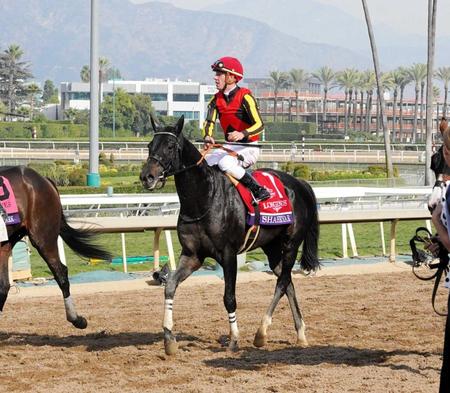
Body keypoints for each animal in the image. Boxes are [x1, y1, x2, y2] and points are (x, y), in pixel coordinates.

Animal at [0, 165, 110, 328]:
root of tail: (44, 179)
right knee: (4, 286)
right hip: (7, 242)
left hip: (43, 236)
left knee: (60, 272)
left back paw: (76, 319)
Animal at [141, 115, 320, 354]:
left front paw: (234, 339)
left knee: (282, 283)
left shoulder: (228, 255)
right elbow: (169, 286)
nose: (147, 176)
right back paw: (300, 334)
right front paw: (169, 339)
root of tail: (298, 183)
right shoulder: (192, 255)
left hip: (291, 244)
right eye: (150, 145)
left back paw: (261, 332)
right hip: (272, 247)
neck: (204, 198)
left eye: (170, 146)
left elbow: (229, 298)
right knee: (287, 281)